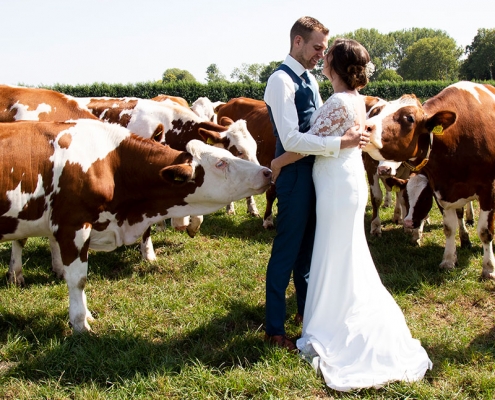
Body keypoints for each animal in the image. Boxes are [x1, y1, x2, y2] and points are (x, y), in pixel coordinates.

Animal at [0, 119, 272, 332]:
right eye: (221, 163)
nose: (267, 172)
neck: (112, 165)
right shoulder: (73, 225)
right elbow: (78, 279)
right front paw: (80, 324)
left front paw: (86, 316)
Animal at [364, 81, 495, 280]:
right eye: (377, 112)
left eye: (409, 118)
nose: (364, 126)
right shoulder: (440, 189)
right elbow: (449, 227)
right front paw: (448, 260)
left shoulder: (488, 189)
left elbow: (485, 231)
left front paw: (488, 268)